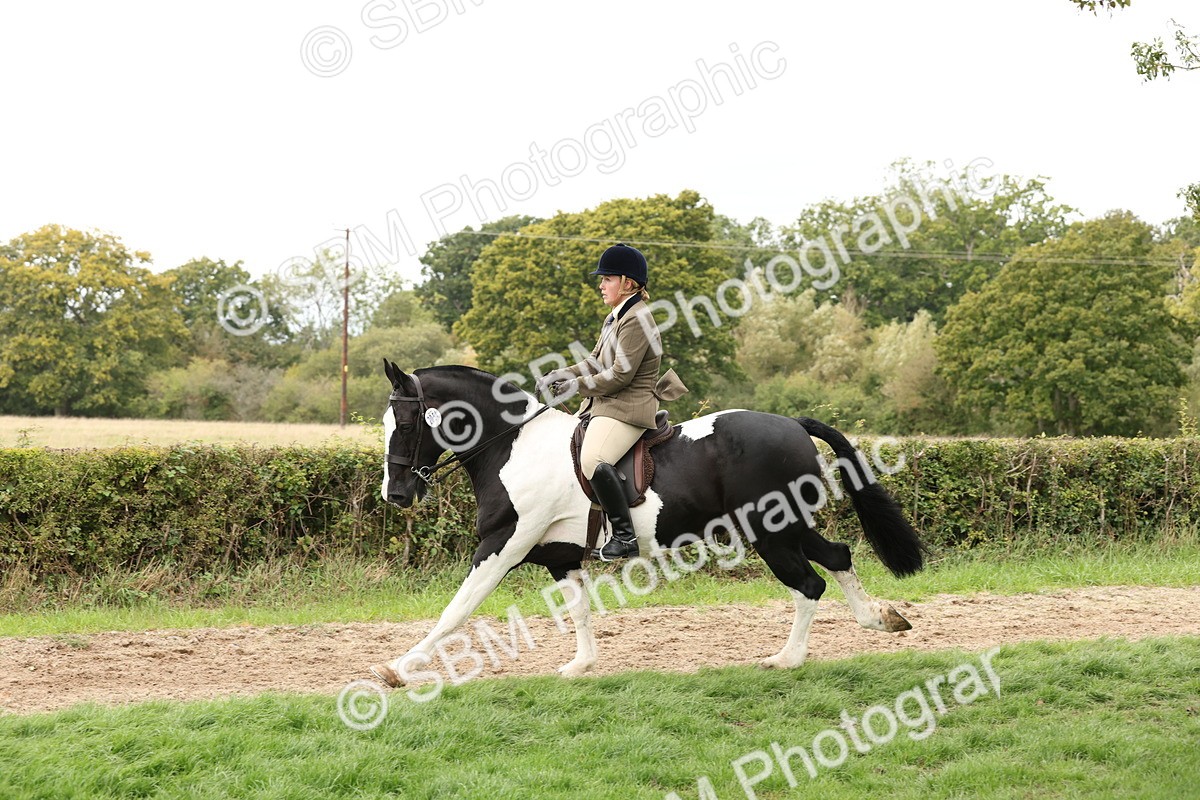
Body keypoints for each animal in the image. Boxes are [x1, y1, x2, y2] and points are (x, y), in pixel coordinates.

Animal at [369, 362, 924, 687]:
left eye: (407, 422)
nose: (395, 495)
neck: (513, 446)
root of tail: (792, 424)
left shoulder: (504, 543)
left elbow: (456, 611)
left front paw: (399, 668)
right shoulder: (559, 556)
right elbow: (579, 611)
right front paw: (580, 666)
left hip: (770, 531)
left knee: (809, 582)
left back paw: (786, 660)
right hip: (786, 526)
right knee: (837, 556)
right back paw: (880, 619)